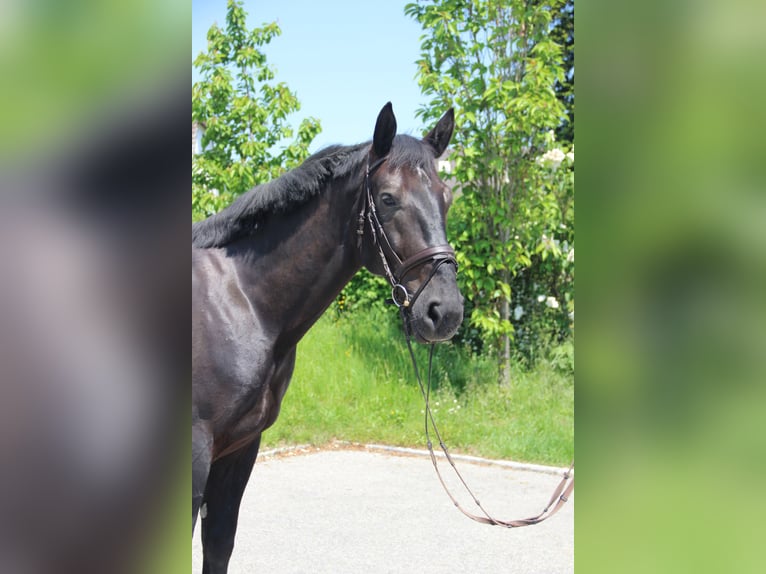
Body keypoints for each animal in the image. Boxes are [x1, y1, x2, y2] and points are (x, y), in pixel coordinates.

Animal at [195, 103, 464, 574]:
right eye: (388, 198)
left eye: (445, 197)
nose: (444, 310)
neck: (239, 300)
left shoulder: (239, 449)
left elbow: (219, 544)